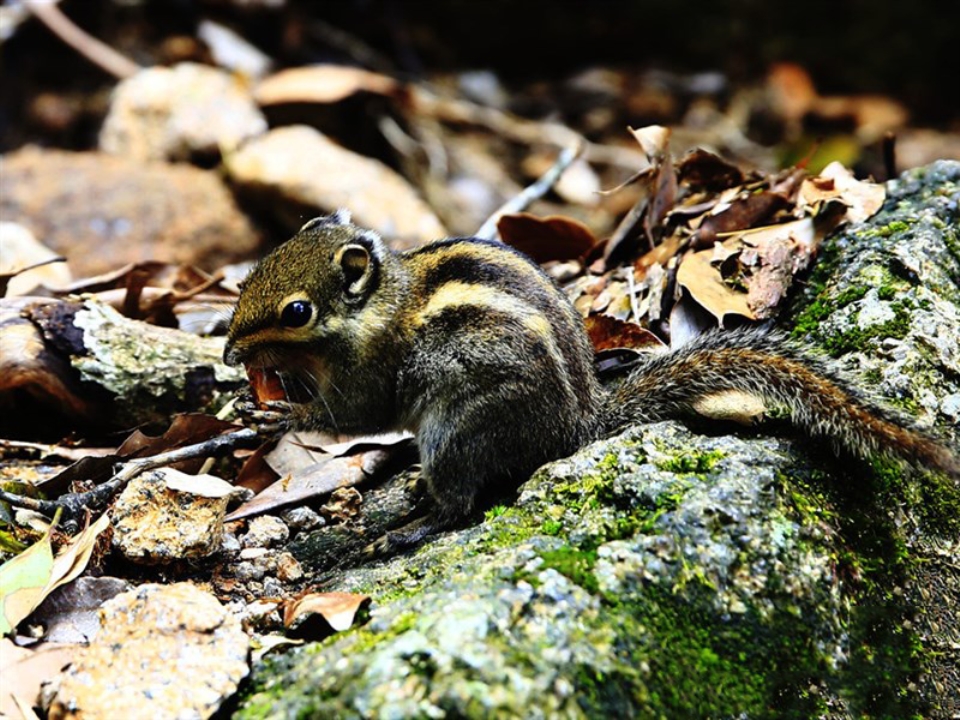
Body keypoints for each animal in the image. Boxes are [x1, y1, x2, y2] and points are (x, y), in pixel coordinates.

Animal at [223, 211, 960, 556]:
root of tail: (578, 423)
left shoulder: (370, 373)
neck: (382, 303)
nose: (229, 351)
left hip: (459, 429)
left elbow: (350, 416)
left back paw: (413, 522)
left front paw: (275, 417)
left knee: (459, 502)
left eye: (297, 312)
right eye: (253, 270)